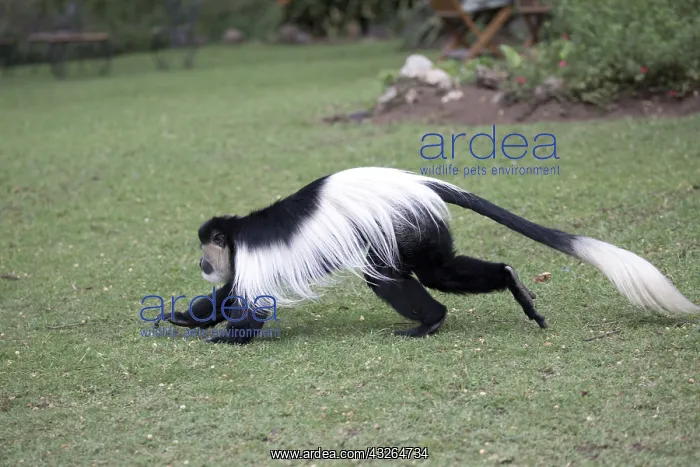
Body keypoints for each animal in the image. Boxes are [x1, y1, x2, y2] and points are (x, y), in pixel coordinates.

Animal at [161, 167, 699, 345]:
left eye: (206, 251)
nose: (202, 264)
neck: (238, 235)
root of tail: (417, 182)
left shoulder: (251, 258)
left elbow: (248, 304)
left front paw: (227, 339)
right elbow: (224, 296)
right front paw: (186, 318)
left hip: (404, 225)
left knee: (398, 278)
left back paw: (429, 321)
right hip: (420, 230)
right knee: (434, 271)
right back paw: (509, 283)